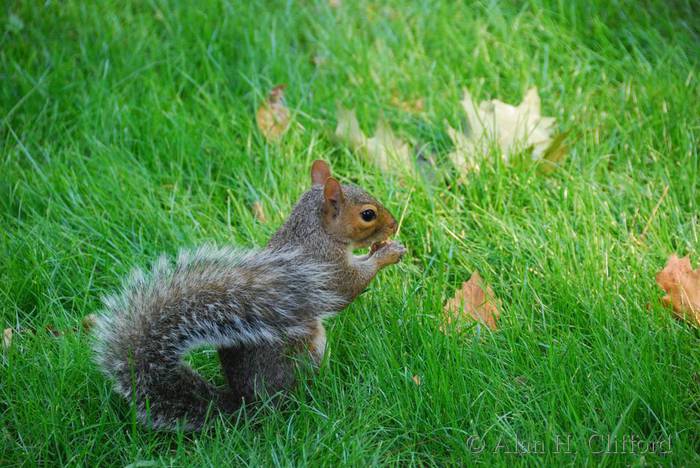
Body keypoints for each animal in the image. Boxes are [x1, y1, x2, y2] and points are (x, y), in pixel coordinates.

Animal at [95, 161, 408, 432]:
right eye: (367, 214)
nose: (394, 225)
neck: (315, 232)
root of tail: (246, 405)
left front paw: (381, 248)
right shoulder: (326, 270)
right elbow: (348, 288)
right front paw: (387, 253)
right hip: (306, 352)